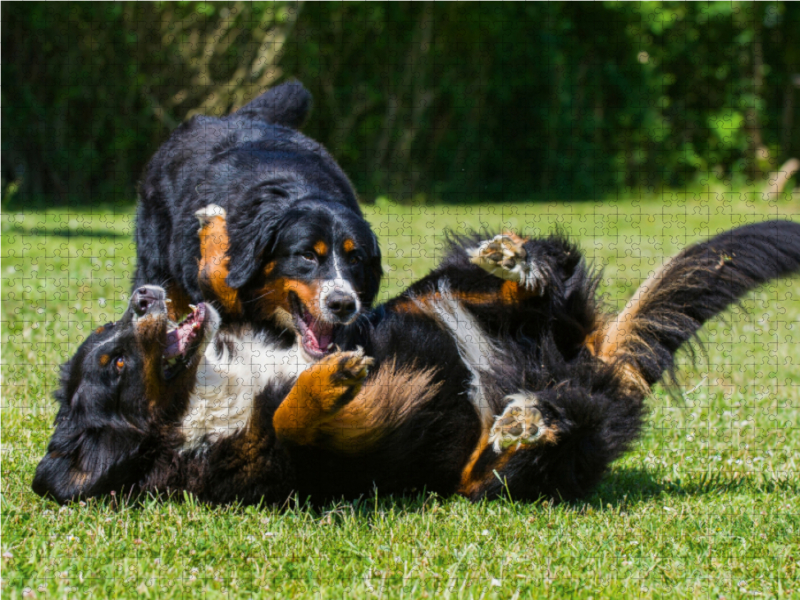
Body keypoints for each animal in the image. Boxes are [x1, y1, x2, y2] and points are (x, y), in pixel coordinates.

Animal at [31, 218, 800, 504]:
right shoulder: (297, 465)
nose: (142, 295)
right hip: (511, 465)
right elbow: (289, 419)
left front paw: (326, 366)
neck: (203, 396)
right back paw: (523, 424)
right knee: (503, 460)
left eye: (107, 341)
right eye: (115, 363)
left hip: (439, 297)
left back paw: (513, 263)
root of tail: (585, 367)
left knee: (533, 284)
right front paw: (332, 380)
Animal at [131, 80, 382, 360]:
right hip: (156, 267)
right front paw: (213, 224)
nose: (343, 304)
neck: (296, 189)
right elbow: (220, 274)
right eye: (307, 255)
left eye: (355, 259)